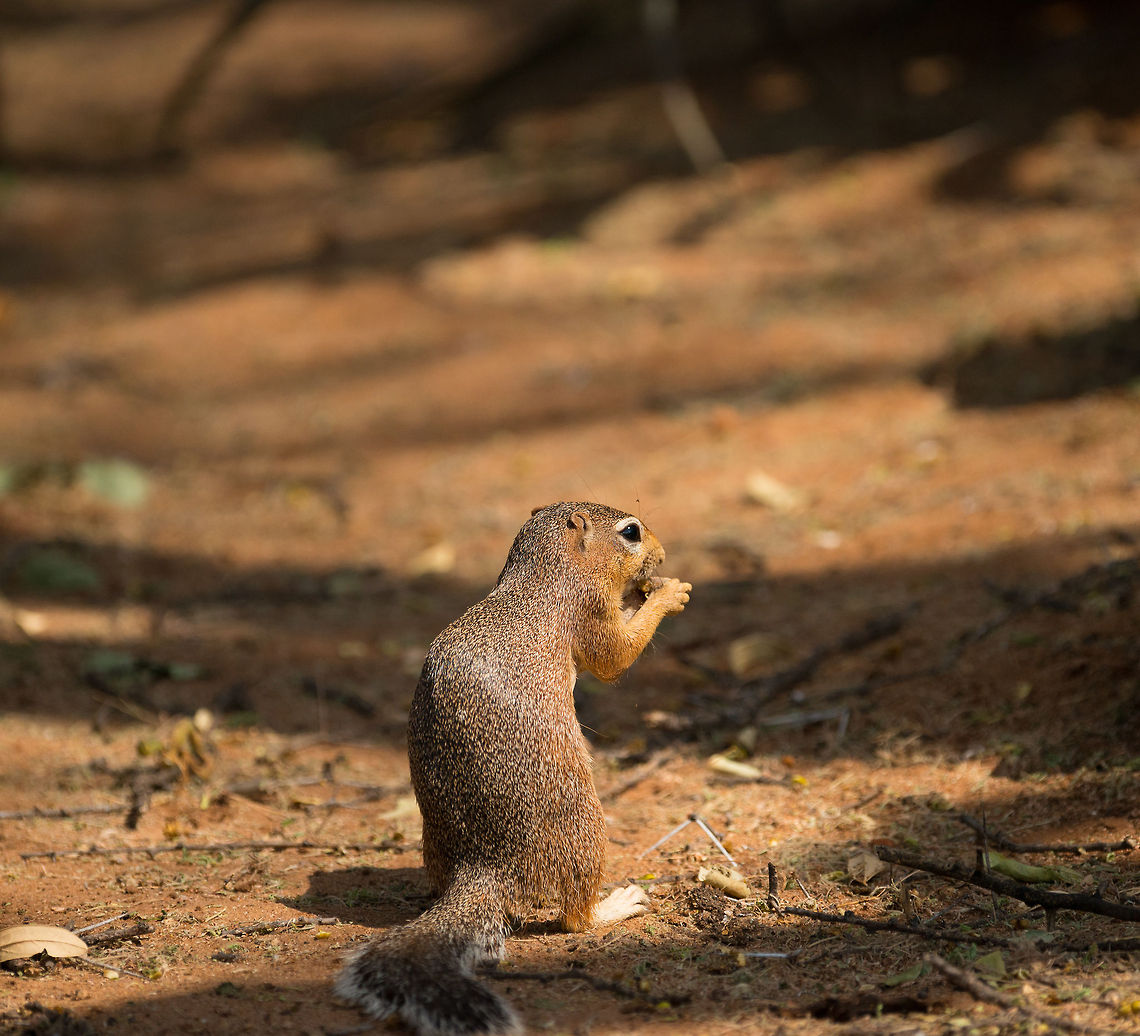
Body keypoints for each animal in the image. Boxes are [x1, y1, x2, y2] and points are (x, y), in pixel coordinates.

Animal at [336, 501, 691, 1035]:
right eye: (630, 532)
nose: (664, 554)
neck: (545, 573)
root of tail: (484, 865)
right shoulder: (586, 610)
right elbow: (615, 655)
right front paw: (669, 592)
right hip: (584, 825)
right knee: (574, 918)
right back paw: (615, 906)